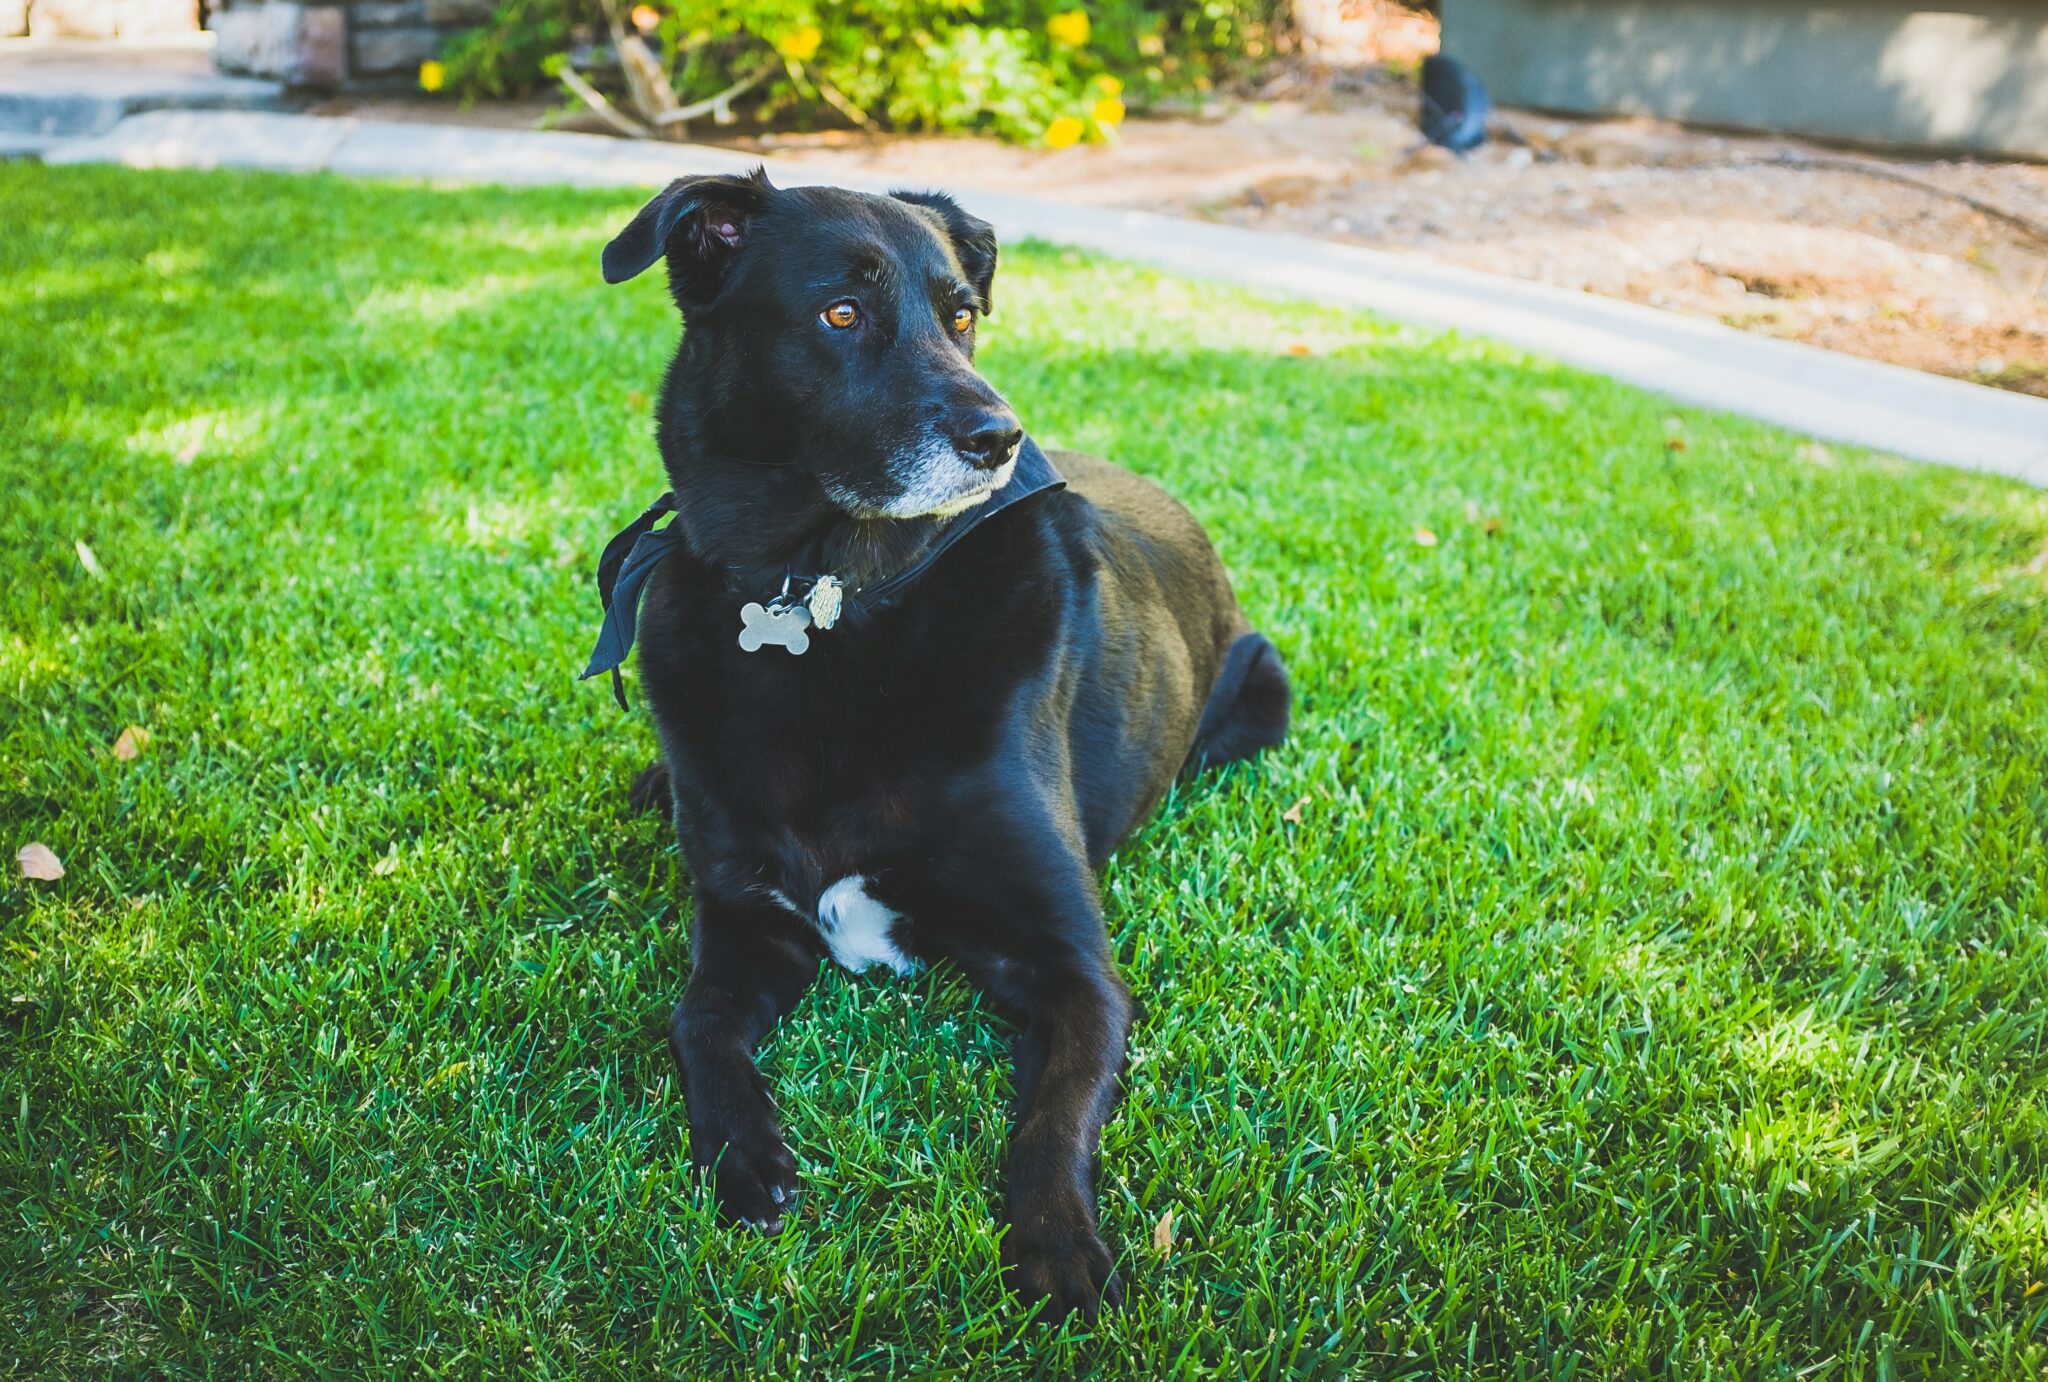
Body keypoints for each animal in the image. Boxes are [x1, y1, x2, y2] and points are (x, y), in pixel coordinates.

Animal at [593, 167, 1286, 1326]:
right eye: (841, 313)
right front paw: (745, 1156)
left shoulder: (1070, 965)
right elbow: (697, 1023)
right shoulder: (744, 923)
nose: (997, 438)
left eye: (961, 316)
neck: (828, 601)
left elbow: (1051, 1119)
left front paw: (1058, 1249)